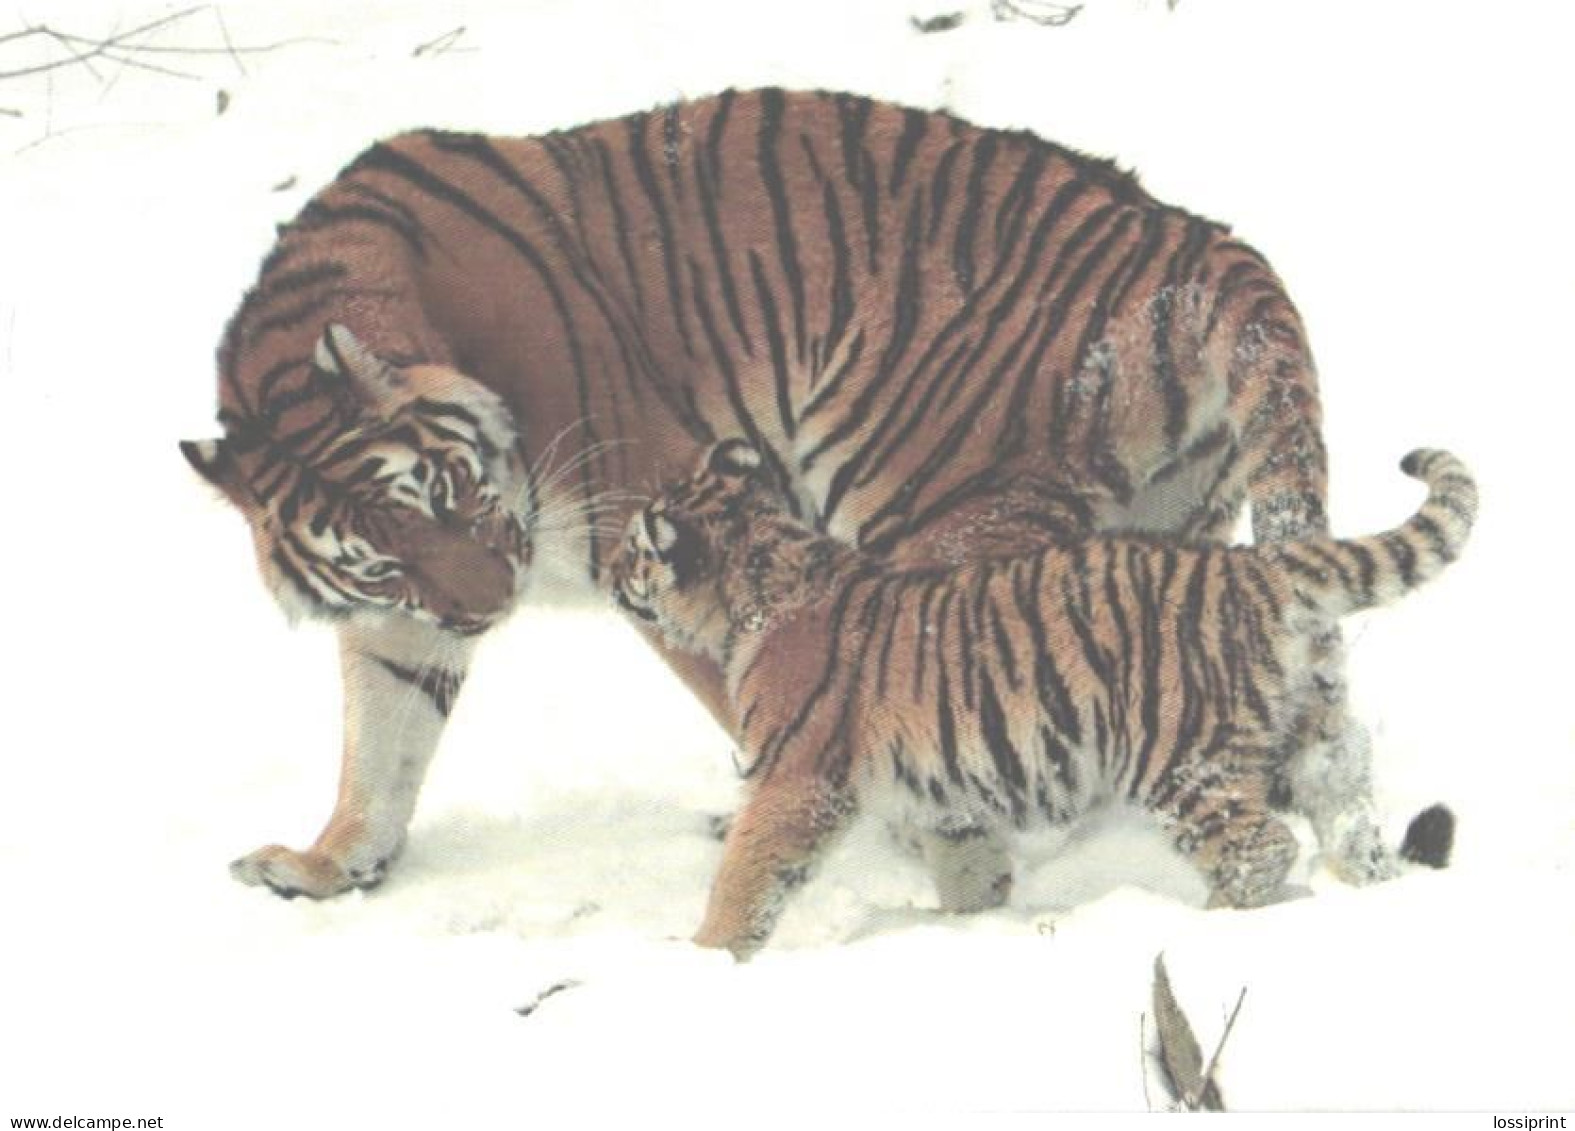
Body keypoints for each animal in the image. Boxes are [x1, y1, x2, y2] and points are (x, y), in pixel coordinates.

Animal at [184, 86, 1417, 901]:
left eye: (443, 491)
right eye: (379, 555)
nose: (489, 608)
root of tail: (1198, 242)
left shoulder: (658, 525)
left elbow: (762, 702)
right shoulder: (405, 620)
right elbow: (381, 739)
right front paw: (329, 864)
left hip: (928, 505)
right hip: (1169, 529)